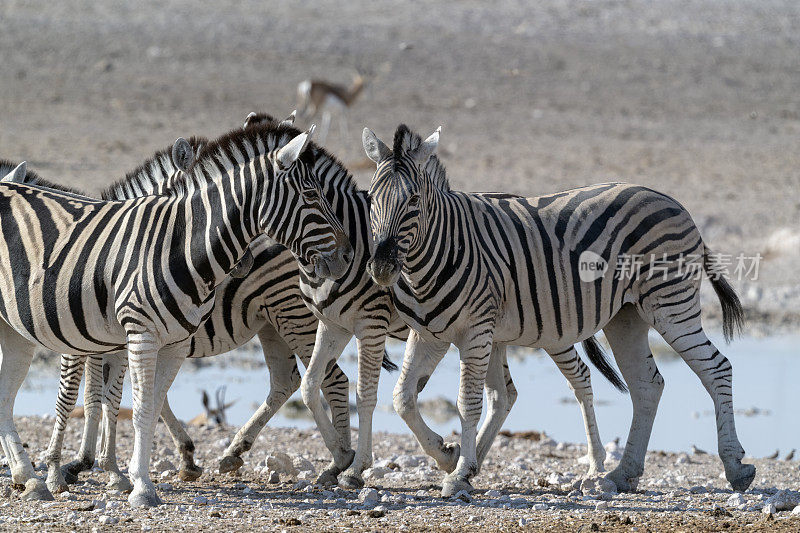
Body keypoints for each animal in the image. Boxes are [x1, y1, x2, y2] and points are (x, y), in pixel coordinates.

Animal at [0, 121, 354, 508]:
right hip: (279, 320)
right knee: (301, 379)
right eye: (311, 195)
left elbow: (134, 405)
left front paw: (121, 475)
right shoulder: (125, 337)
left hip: (288, 314)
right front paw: (91, 471)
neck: (175, 245)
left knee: (320, 379)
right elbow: (103, 401)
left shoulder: (156, 342)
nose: (348, 256)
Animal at [366, 123, 752, 494]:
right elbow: (402, 398)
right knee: (647, 385)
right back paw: (624, 473)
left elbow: (468, 403)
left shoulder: (476, 332)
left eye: (414, 199)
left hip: (671, 304)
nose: (382, 266)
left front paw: (459, 474)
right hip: (626, 317)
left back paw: (735, 466)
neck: (438, 251)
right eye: (370, 199)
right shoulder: (429, 335)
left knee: (717, 368)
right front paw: (447, 455)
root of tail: (672, 200)